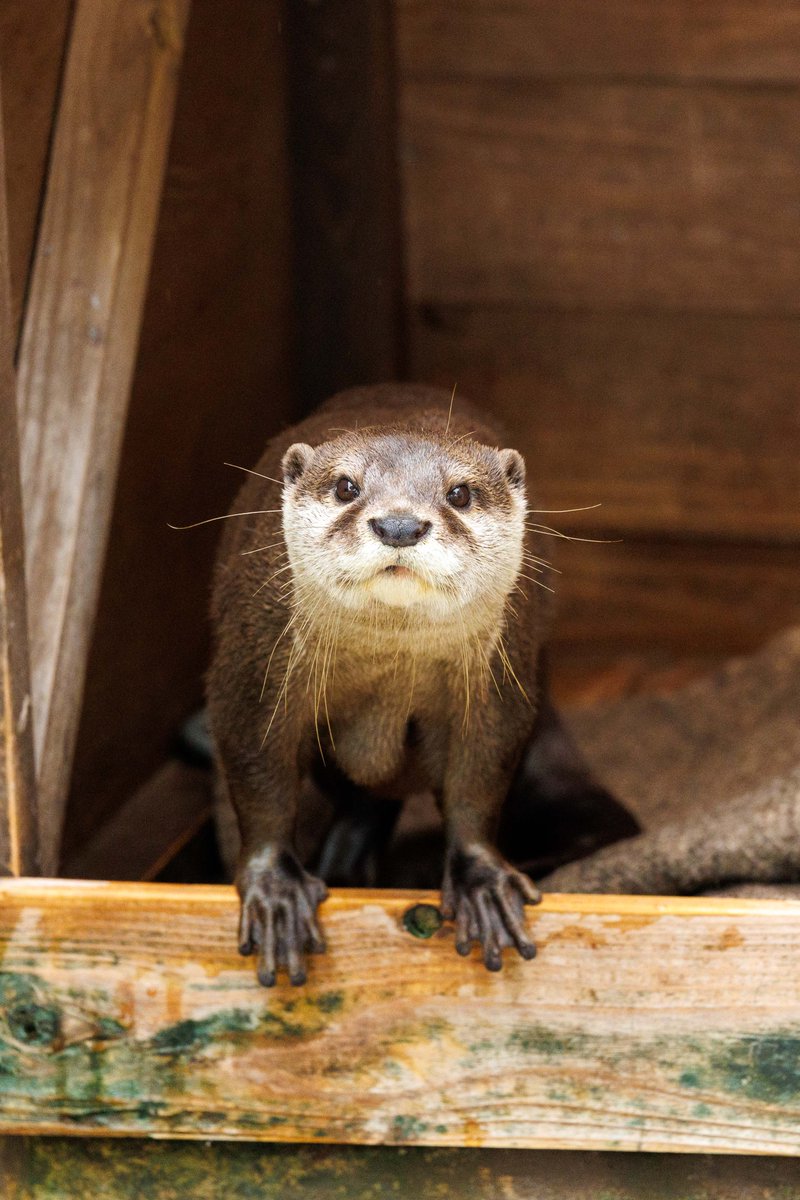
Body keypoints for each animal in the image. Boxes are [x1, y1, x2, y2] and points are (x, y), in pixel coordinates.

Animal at [207, 384, 627, 986]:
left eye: (460, 493)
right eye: (346, 486)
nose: (400, 526)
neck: (388, 669)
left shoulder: (497, 691)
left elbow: (478, 779)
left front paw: (482, 880)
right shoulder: (252, 671)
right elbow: (259, 775)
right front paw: (275, 890)